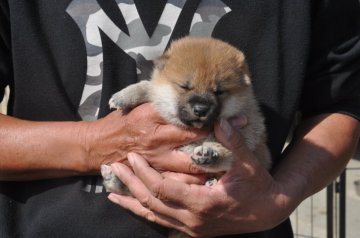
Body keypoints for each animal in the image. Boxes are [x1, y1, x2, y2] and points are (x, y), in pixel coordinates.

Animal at [100, 36, 270, 193]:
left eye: (219, 91)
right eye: (184, 87)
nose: (201, 109)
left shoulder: (246, 142)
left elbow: (227, 153)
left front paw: (210, 154)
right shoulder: (158, 91)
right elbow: (147, 86)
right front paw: (123, 96)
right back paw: (112, 176)